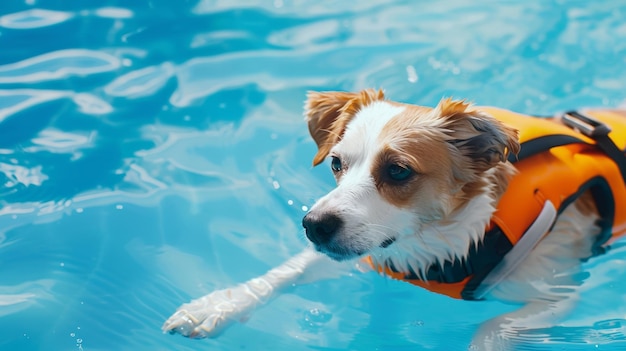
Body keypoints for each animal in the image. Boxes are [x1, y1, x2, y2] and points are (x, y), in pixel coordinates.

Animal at [162, 90, 624, 350]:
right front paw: (215, 306)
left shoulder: (556, 294)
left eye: (398, 171)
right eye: (336, 163)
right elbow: (283, 273)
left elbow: (491, 329)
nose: (313, 224)